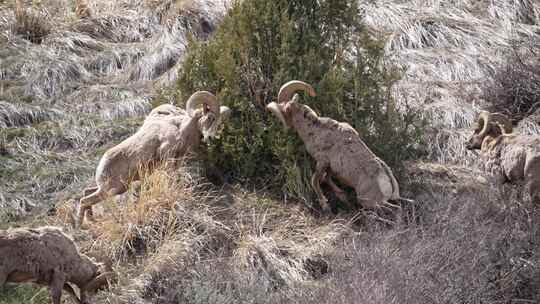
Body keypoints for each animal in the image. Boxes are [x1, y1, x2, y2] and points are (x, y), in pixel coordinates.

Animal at [79, 91, 231, 227]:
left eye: (219, 122)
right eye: (210, 117)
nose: (211, 138)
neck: (181, 129)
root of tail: (101, 166)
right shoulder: (167, 156)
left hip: (114, 188)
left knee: (86, 192)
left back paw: (90, 221)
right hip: (113, 189)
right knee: (84, 200)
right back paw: (80, 226)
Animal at [266, 81, 404, 214]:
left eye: (283, 111)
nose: (285, 128)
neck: (314, 129)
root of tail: (388, 182)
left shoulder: (322, 161)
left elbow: (315, 180)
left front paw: (325, 206)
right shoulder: (330, 167)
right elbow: (326, 178)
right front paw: (342, 196)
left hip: (370, 202)